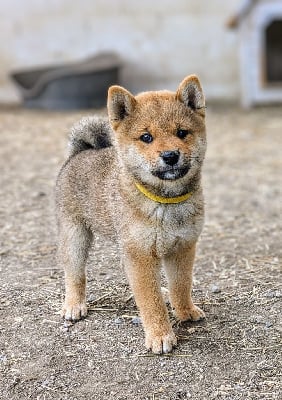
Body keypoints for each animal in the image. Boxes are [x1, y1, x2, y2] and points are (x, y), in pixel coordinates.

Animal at [56, 75, 207, 354]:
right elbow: (151, 301)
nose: (170, 156)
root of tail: (81, 152)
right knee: (75, 275)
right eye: (146, 137)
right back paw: (74, 305)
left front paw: (185, 311)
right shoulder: (141, 256)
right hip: (75, 237)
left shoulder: (183, 247)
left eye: (182, 133)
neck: (165, 202)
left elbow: (181, 286)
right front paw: (160, 335)